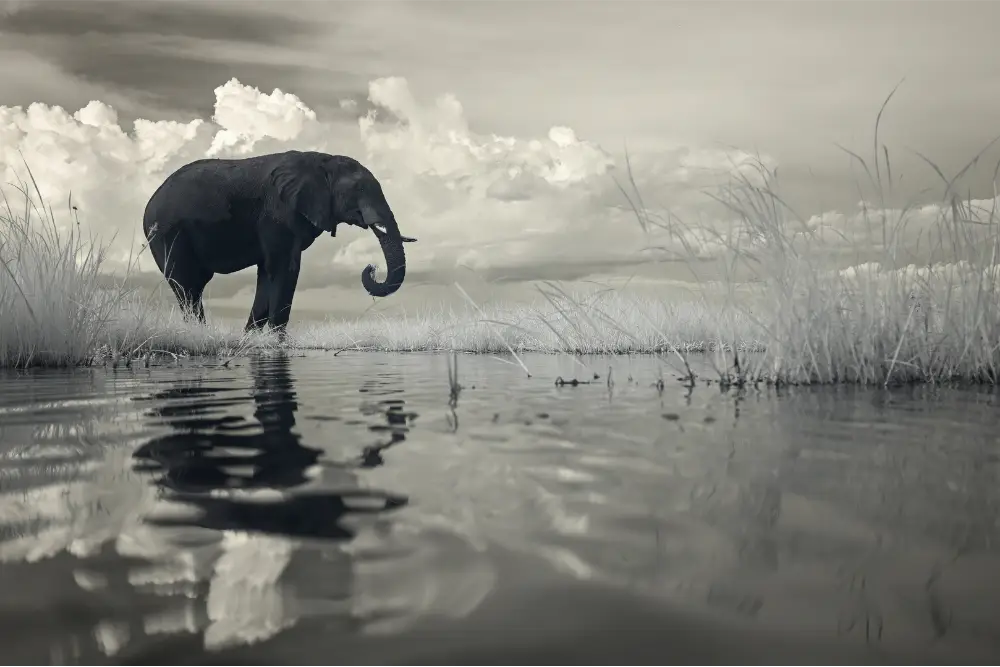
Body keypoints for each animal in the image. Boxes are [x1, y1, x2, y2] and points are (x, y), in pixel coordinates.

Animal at [142, 150, 417, 334]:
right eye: (359, 189)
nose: (371, 268)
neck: (321, 160)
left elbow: (268, 271)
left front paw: (251, 338)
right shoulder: (277, 213)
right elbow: (284, 268)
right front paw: (277, 340)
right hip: (167, 234)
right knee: (186, 285)